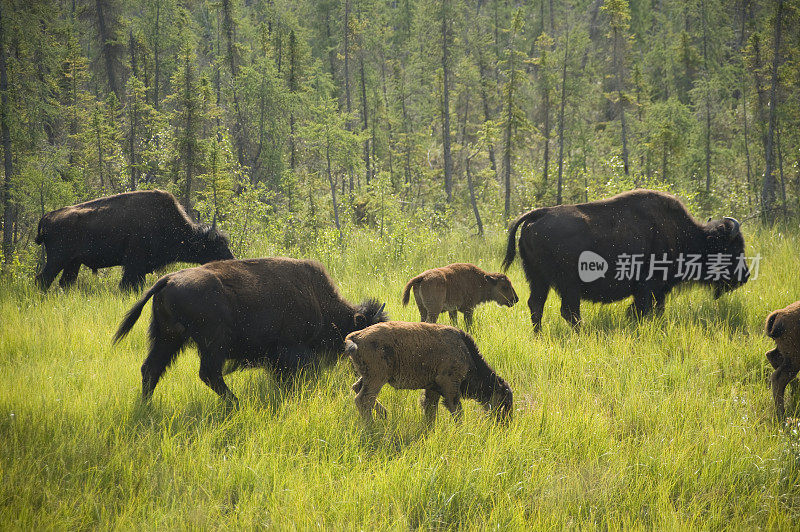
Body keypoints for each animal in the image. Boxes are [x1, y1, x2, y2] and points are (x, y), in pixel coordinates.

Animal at [34, 190, 234, 290]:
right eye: (216, 245)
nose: (231, 260)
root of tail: (47, 217)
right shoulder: (134, 263)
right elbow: (128, 284)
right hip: (57, 259)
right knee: (42, 279)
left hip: (73, 263)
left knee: (65, 282)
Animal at [112, 256, 388, 404]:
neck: (318, 300)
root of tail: (167, 279)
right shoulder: (293, 350)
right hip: (212, 343)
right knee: (208, 374)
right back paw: (236, 404)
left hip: (168, 338)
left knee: (151, 368)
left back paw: (146, 405)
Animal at [344, 322, 512, 422]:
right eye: (504, 401)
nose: (505, 423)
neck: (466, 352)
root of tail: (355, 337)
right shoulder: (449, 384)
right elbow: (456, 410)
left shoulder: (433, 387)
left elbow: (430, 409)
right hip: (377, 378)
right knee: (363, 399)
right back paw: (371, 425)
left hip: (368, 377)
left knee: (357, 389)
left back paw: (384, 415)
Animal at [500, 187, 752, 328]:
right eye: (733, 248)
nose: (746, 276)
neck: (684, 234)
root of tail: (538, 214)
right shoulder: (648, 287)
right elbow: (640, 310)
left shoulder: (658, 291)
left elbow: (655, 310)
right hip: (567, 283)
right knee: (569, 311)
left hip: (538, 279)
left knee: (537, 305)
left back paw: (539, 335)